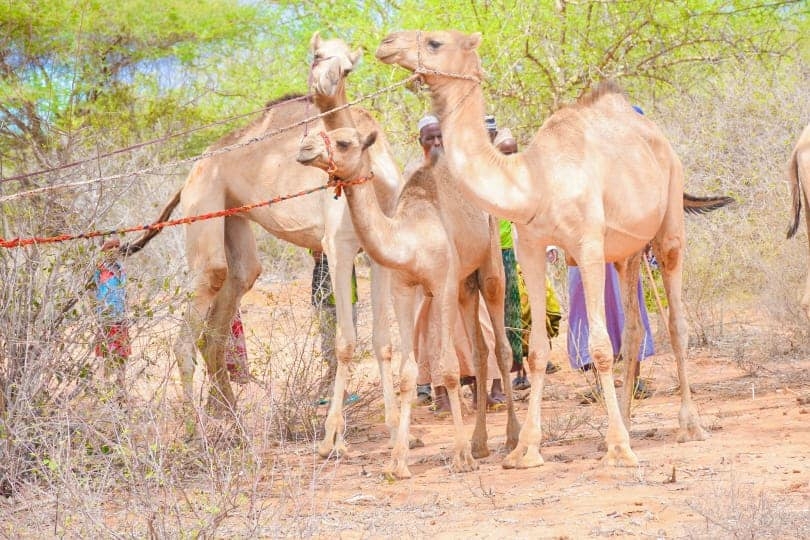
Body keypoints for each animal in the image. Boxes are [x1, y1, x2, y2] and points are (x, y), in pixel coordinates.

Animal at [172, 33, 402, 457]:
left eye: (349, 68)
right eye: (317, 55)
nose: (324, 85)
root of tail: (199, 162)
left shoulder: (380, 252)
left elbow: (382, 341)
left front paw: (396, 431)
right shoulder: (336, 246)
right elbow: (346, 341)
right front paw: (332, 439)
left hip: (234, 219)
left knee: (230, 295)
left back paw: (237, 427)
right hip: (202, 201)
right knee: (199, 306)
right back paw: (196, 434)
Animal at [297, 127, 520, 478]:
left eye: (344, 142)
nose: (304, 148)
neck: (410, 239)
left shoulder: (441, 284)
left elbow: (449, 368)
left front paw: (460, 456)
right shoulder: (403, 288)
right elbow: (407, 373)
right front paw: (398, 461)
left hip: (490, 255)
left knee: (501, 344)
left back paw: (510, 438)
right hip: (464, 282)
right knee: (479, 350)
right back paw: (479, 443)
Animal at [376, 29, 733, 469]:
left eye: (434, 42)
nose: (387, 42)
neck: (537, 180)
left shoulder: (588, 245)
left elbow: (600, 346)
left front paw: (618, 449)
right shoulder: (530, 245)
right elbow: (537, 351)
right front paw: (526, 449)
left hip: (668, 218)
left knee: (675, 320)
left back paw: (689, 425)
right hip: (626, 251)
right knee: (633, 328)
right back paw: (627, 421)